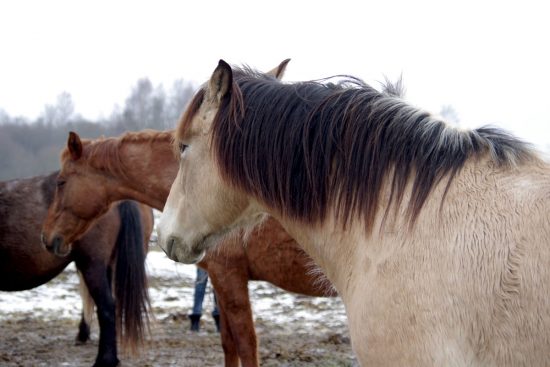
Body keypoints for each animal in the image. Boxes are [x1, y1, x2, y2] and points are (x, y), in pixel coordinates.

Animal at [41, 127, 336, 367]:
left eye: (61, 182)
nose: (47, 237)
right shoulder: (219, 280)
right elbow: (229, 345)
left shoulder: (230, 278)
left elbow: (246, 345)